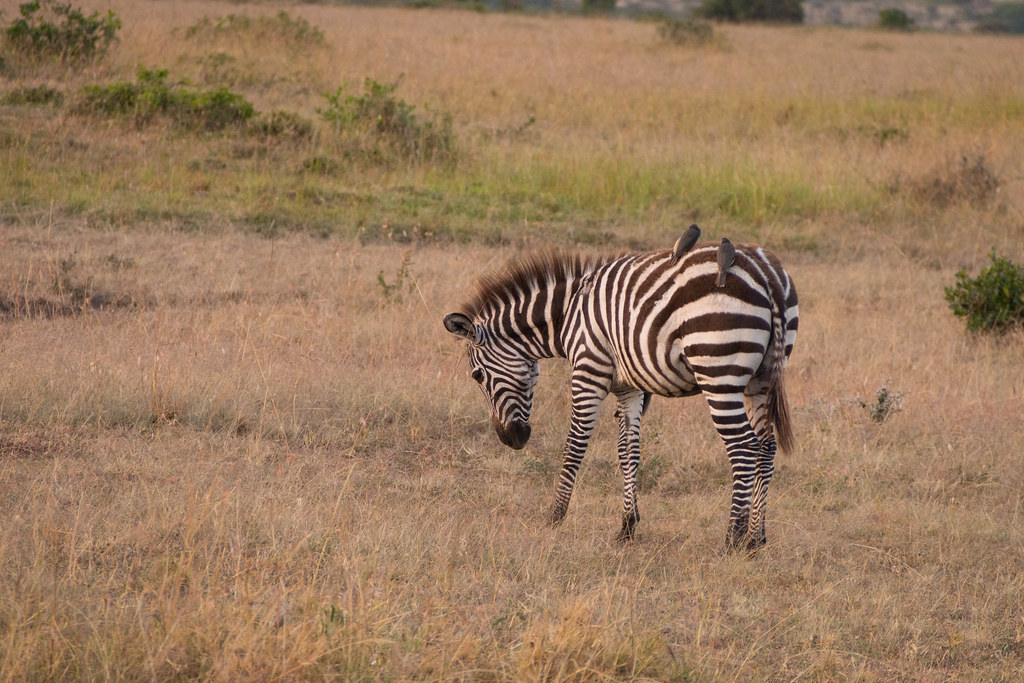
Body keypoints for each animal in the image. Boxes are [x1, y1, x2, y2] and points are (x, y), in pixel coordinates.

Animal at [443, 234, 798, 550]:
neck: (567, 315)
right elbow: (629, 451)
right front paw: (627, 526)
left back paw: (732, 539)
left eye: (477, 376)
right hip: (761, 379)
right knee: (766, 447)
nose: (511, 440)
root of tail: (766, 277)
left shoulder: (589, 370)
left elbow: (574, 446)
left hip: (719, 373)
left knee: (744, 447)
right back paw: (755, 538)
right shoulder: (629, 388)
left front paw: (555, 517)